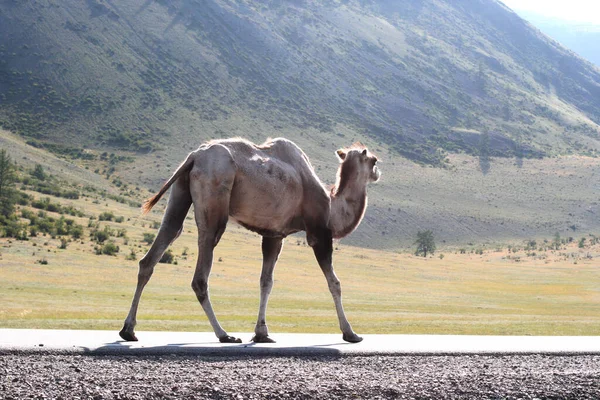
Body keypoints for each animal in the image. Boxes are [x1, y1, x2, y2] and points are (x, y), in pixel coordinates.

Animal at [118, 138, 380, 344]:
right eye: (374, 160)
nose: (379, 172)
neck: (332, 205)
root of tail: (194, 156)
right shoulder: (319, 234)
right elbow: (334, 283)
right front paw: (350, 333)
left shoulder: (274, 234)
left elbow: (266, 281)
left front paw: (262, 333)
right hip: (215, 192)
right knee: (201, 270)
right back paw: (224, 334)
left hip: (180, 193)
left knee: (160, 244)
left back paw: (128, 330)